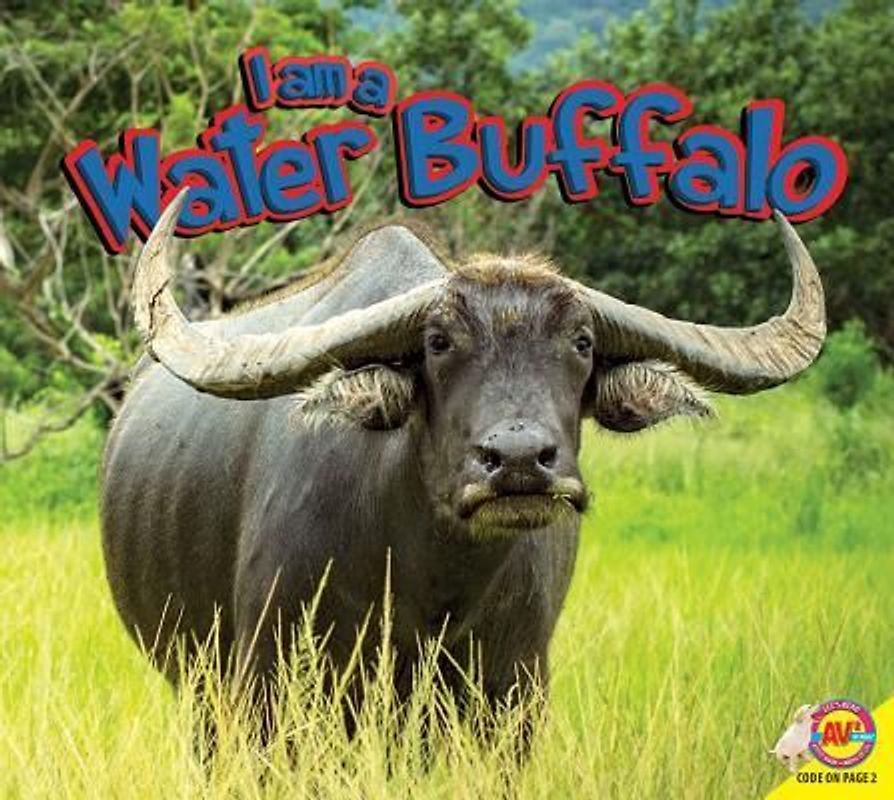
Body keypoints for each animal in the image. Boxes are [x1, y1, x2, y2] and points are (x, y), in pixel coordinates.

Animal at [102, 191, 825, 741]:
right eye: (438, 343)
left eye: (582, 342)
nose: (519, 461)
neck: (432, 585)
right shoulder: (272, 688)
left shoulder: (513, 696)